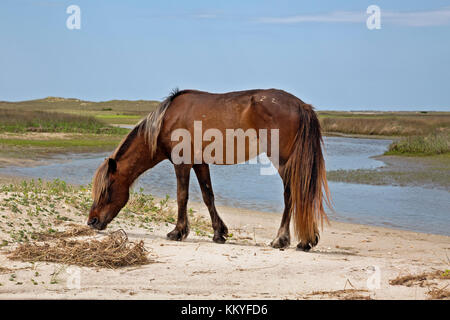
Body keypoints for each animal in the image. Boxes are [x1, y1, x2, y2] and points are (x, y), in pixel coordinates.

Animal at [87, 89, 330, 251]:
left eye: (106, 190)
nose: (92, 222)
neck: (167, 119)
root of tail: (301, 106)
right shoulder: (199, 163)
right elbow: (208, 196)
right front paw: (219, 232)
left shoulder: (182, 163)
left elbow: (182, 196)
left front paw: (177, 232)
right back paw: (306, 241)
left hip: (283, 162)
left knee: (291, 195)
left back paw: (283, 239)